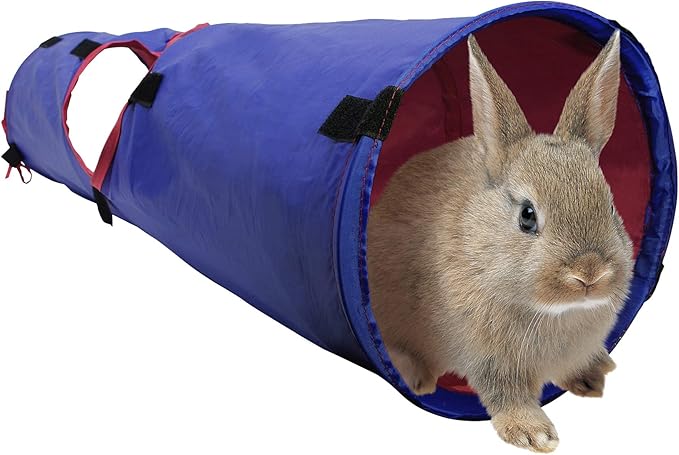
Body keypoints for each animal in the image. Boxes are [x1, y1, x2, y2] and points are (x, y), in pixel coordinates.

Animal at [367, 30, 632, 453]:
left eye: (609, 204)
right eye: (527, 215)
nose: (589, 274)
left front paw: (593, 377)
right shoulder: (491, 361)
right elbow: (506, 395)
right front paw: (535, 434)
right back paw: (417, 378)